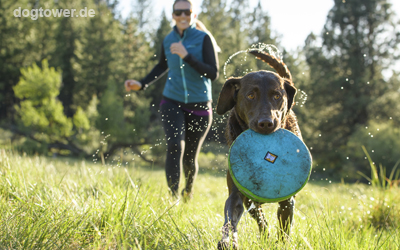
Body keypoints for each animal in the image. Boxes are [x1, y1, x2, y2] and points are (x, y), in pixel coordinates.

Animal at [217, 49, 302, 249]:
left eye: (277, 96)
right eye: (250, 95)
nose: (266, 123)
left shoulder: (288, 201)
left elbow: (284, 229)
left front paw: (281, 244)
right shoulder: (237, 193)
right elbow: (230, 218)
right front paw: (227, 240)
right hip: (251, 201)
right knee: (261, 220)